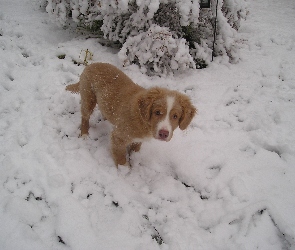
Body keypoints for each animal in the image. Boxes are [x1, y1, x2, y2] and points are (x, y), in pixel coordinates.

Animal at [66, 63, 198, 167]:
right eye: (157, 112)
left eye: (175, 116)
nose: (164, 134)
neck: (143, 120)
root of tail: (91, 64)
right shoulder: (118, 137)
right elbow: (120, 157)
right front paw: (125, 171)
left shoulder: (138, 139)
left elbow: (135, 148)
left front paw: (134, 158)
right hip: (88, 97)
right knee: (85, 117)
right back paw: (84, 134)